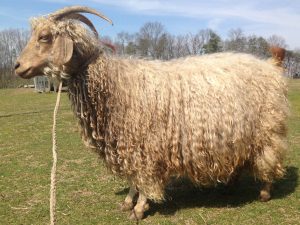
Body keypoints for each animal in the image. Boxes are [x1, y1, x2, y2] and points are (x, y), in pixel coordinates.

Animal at [15, 6, 288, 221]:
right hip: (238, 134)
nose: (17, 66)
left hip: (267, 131)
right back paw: (230, 186)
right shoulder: (128, 145)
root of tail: (271, 66)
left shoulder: (145, 147)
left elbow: (144, 180)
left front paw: (139, 208)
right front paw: (128, 202)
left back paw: (265, 192)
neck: (115, 85)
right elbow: (133, 179)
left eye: (45, 36)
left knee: (269, 158)